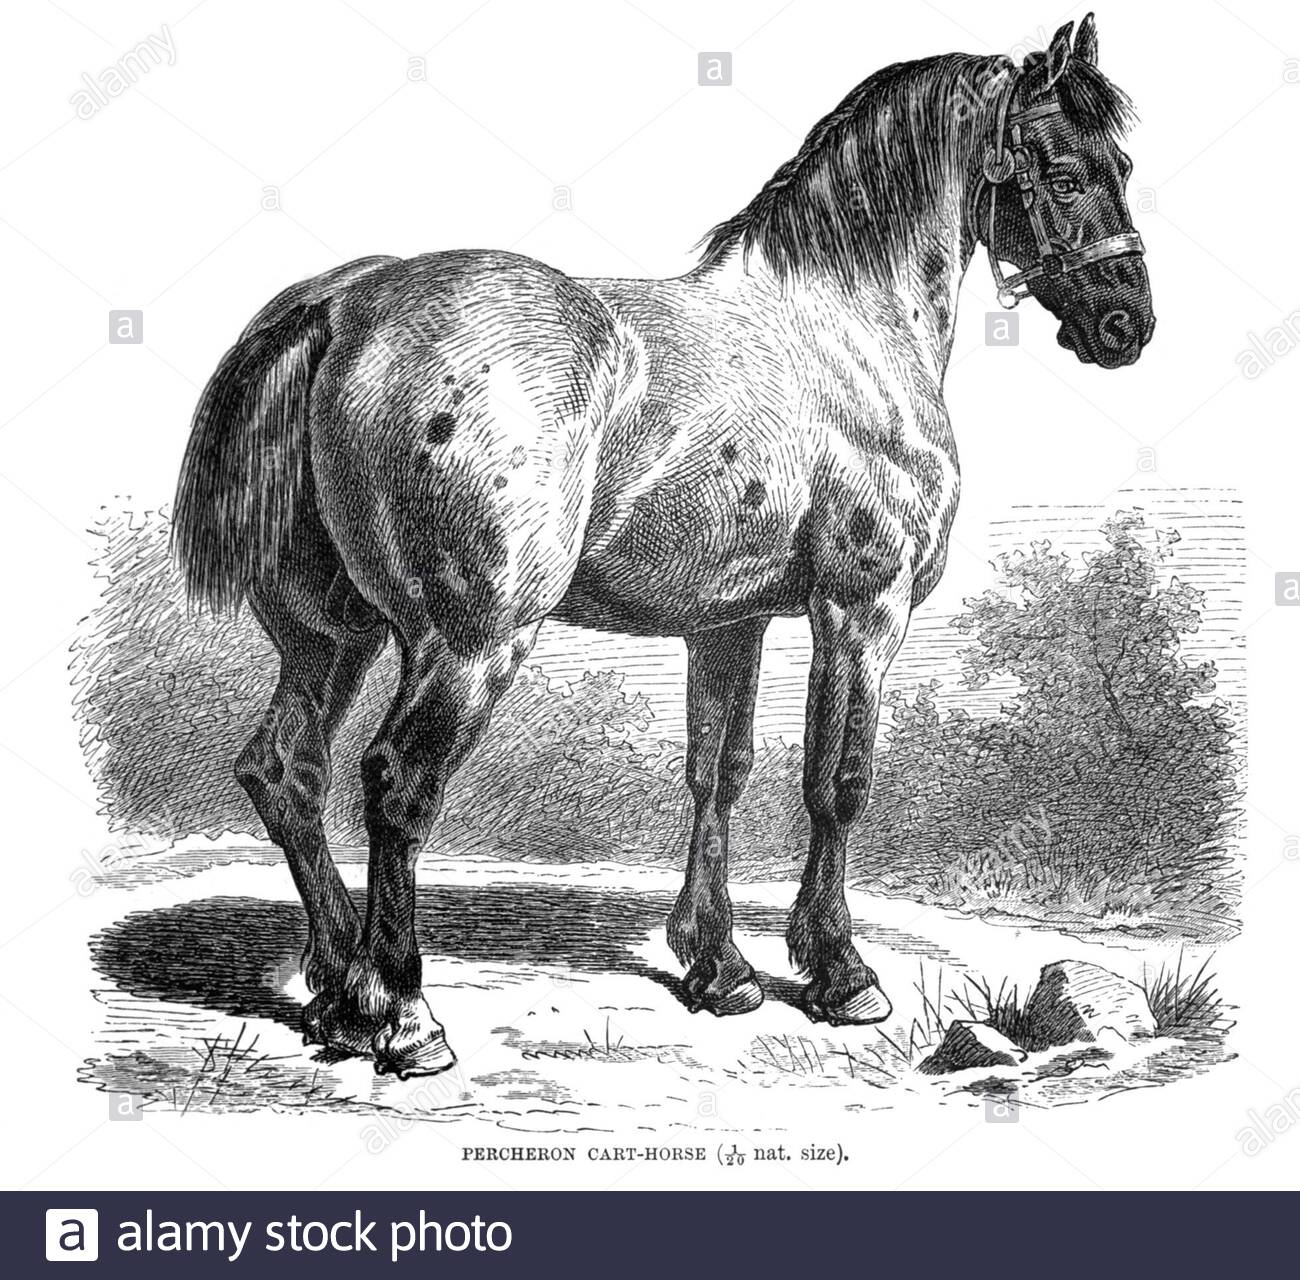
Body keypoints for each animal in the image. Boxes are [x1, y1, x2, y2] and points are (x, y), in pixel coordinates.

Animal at [172, 15, 1154, 1078]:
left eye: (1122, 164)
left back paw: (331, 980)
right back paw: (398, 1013)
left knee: (285, 772)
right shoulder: (863, 609)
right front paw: (842, 973)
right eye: (1066, 173)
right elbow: (838, 780)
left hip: (332, 637)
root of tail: (344, 305)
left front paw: (717, 966)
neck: (840, 331)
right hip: (468, 642)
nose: (1127, 324)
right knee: (396, 786)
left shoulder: (730, 625)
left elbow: (718, 775)